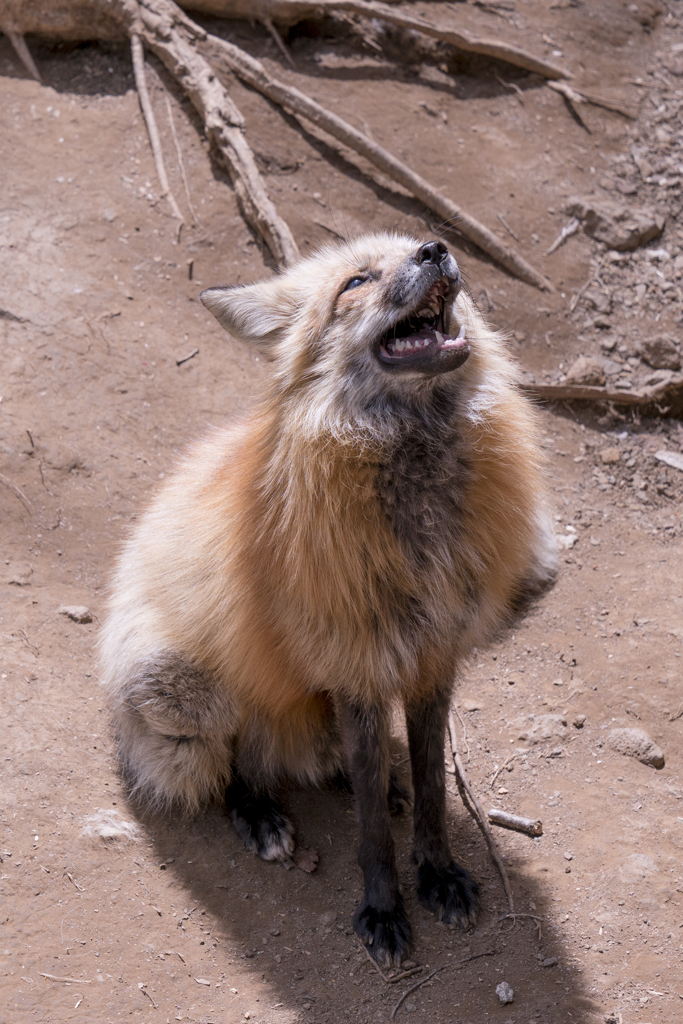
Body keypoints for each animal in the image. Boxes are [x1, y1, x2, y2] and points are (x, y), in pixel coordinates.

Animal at [100, 234, 557, 966]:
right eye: (355, 283)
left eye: (410, 248)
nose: (436, 247)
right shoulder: (357, 665)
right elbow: (370, 832)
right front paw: (383, 910)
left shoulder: (433, 658)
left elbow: (431, 789)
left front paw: (438, 874)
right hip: (182, 692)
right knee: (231, 769)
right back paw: (260, 813)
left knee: (332, 763)